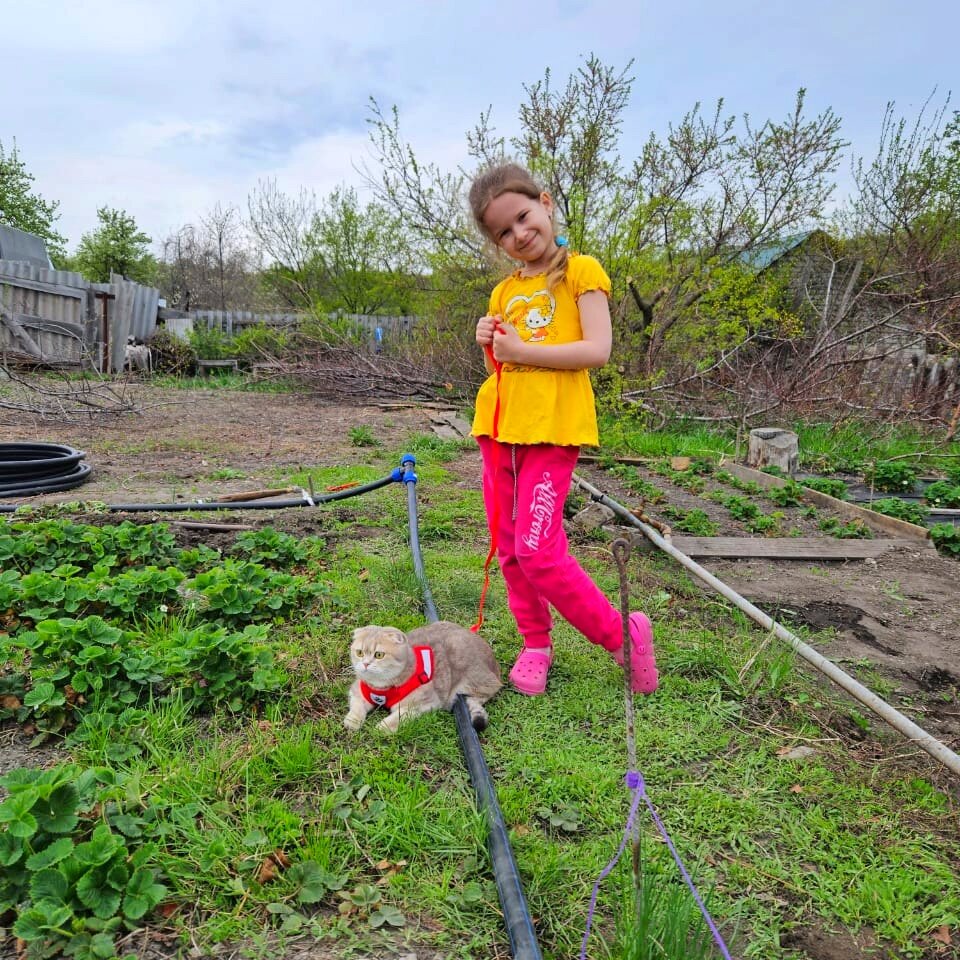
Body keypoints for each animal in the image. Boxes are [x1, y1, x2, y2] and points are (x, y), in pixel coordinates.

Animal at [344, 620, 502, 732]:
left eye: (379, 655)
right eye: (359, 653)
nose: (365, 664)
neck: (381, 687)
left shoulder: (426, 703)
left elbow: (399, 716)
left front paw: (383, 727)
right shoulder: (357, 690)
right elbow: (357, 705)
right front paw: (353, 720)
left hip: (474, 681)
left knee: (485, 693)